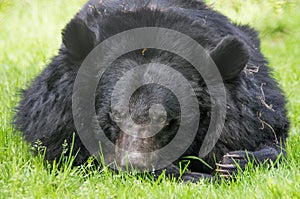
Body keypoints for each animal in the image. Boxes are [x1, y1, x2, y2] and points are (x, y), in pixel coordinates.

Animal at [14, 0, 288, 181]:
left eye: (165, 120)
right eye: (115, 114)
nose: (133, 164)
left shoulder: (251, 109)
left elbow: (270, 135)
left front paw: (234, 161)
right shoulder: (57, 115)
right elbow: (71, 152)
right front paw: (188, 175)